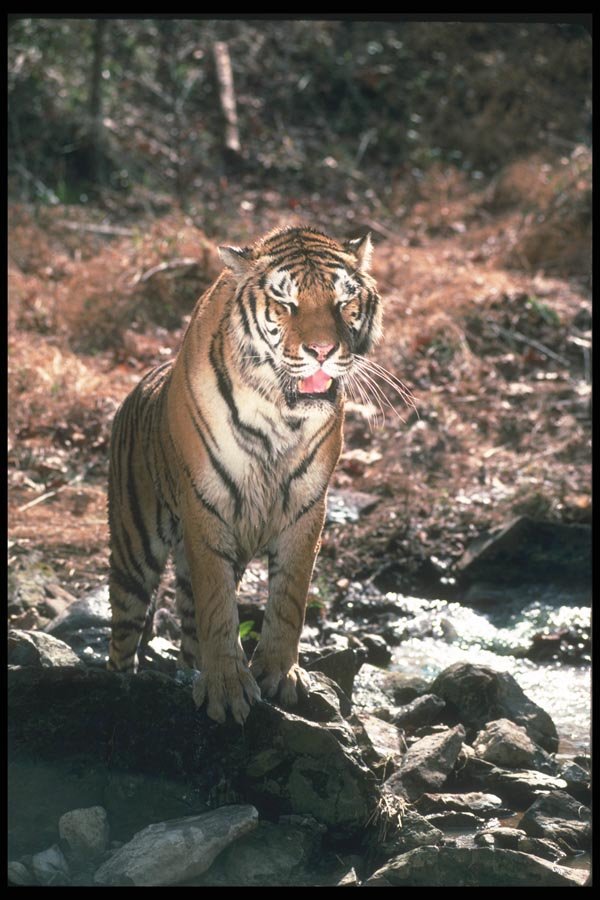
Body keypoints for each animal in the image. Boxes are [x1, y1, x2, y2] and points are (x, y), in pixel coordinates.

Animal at [107, 225, 382, 724]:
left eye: (342, 301)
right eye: (286, 303)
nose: (322, 351)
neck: (281, 415)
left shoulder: (307, 507)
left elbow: (289, 598)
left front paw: (278, 674)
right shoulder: (206, 504)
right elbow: (219, 607)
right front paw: (227, 689)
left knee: (188, 629)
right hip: (133, 552)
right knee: (123, 637)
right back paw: (121, 685)